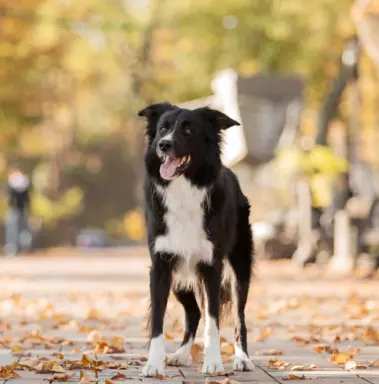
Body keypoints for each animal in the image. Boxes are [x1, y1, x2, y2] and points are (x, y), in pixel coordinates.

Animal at [138, 103, 254, 376]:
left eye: (188, 130)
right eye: (163, 129)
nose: (164, 145)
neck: (184, 189)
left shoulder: (211, 266)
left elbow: (213, 321)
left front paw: (213, 363)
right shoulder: (161, 266)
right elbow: (158, 320)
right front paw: (153, 364)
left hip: (239, 270)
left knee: (238, 316)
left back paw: (242, 358)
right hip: (181, 278)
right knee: (193, 313)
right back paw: (181, 354)